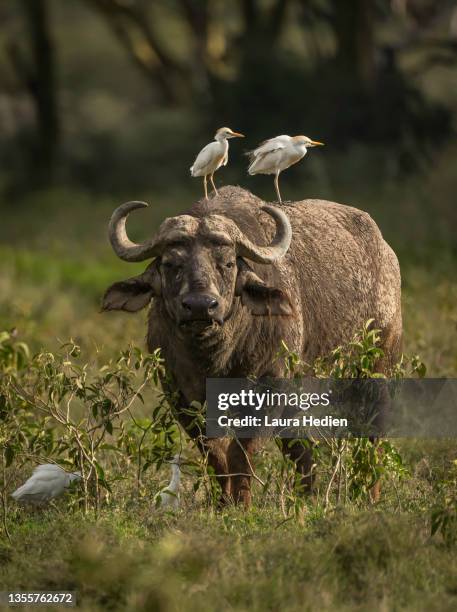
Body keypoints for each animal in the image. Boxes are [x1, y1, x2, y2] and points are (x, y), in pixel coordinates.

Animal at [102, 186, 400, 506]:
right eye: (171, 264)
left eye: (228, 263)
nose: (200, 306)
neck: (215, 358)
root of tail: (386, 253)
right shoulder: (180, 395)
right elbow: (214, 453)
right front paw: (223, 502)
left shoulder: (268, 390)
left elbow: (241, 452)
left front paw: (241, 504)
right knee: (301, 449)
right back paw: (306, 497)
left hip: (374, 372)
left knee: (372, 436)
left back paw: (369, 494)